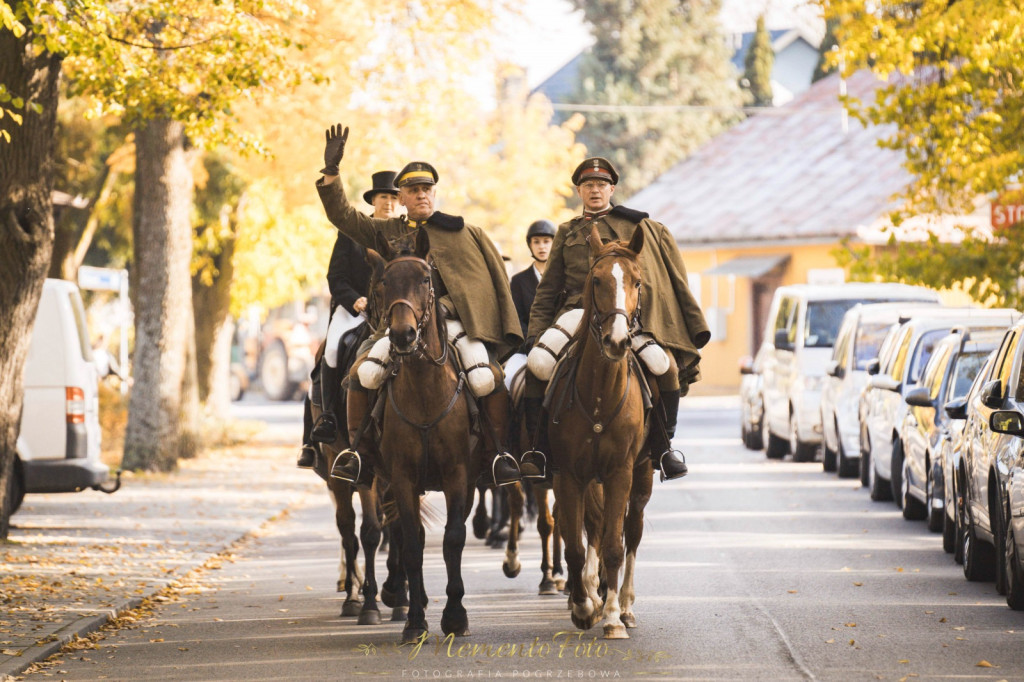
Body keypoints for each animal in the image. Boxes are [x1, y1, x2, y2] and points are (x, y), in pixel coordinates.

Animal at [366, 229, 481, 643]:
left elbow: (453, 538)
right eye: (385, 282)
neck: (425, 392)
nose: (402, 335)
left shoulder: (459, 476)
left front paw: (456, 615)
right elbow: (413, 544)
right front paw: (415, 620)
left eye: (426, 280)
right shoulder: (401, 478)